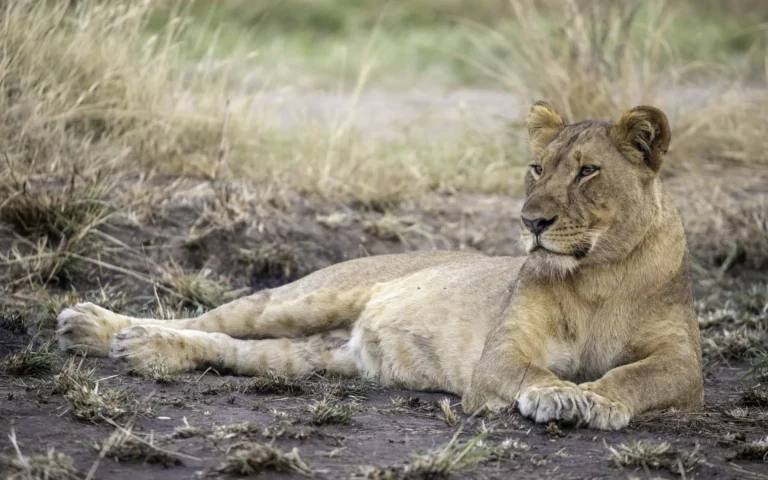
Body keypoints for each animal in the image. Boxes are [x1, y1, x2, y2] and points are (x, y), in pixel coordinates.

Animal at [57, 102, 703, 430]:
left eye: (588, 171)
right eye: (537, 168)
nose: (532, 222)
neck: (598, 273)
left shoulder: (684, 364)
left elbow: (636, 376)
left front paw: (598, 400)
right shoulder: (499, 355)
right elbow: (528, 372)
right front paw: (562, 396)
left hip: (315, 355)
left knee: (233, 349)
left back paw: (145, 350)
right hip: (301, 299)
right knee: (208, 319)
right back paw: (97, 328)